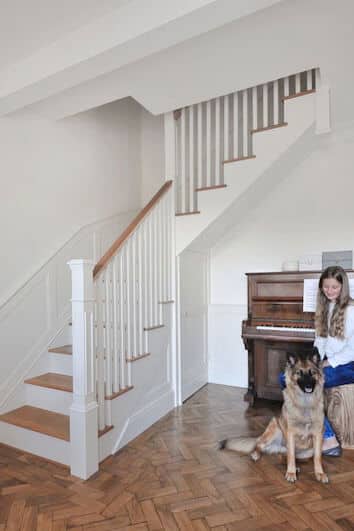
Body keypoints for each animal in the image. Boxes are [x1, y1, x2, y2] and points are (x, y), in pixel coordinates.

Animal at [221, 352, 330, 484]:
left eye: (312, 373)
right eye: (299, 373)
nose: (308, 385)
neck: (305, 404)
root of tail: (277, 447)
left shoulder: (318, 435)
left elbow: (317, 458)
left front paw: (320, 473)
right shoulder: (290, 433)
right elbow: (291, 457)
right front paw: (291, 473)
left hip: (307, 451)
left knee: (284, 456)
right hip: (275, 429)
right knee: (260, 445)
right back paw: (258, 455)